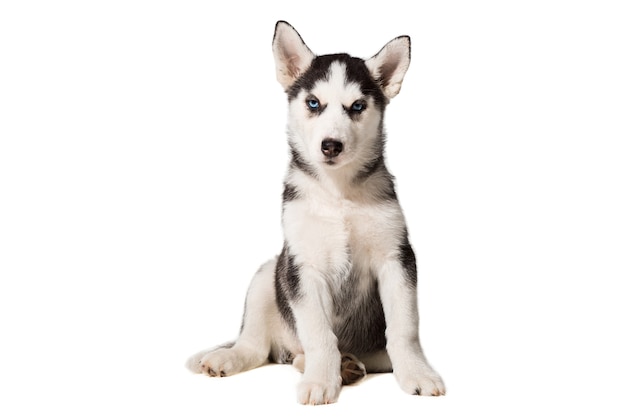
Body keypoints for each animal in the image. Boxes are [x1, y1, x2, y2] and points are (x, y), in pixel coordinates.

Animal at [186, 21, 444, 404]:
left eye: (357, 106)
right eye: (313, 103)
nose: (331, 145)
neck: (338, 194)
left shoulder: (397, 257)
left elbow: (404, 328)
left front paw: (417, 373)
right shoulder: (303, 266)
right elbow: (319, 333)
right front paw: (321, 380)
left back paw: (348, 364)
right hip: (268, 273)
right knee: (257, 347)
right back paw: (232, 357)